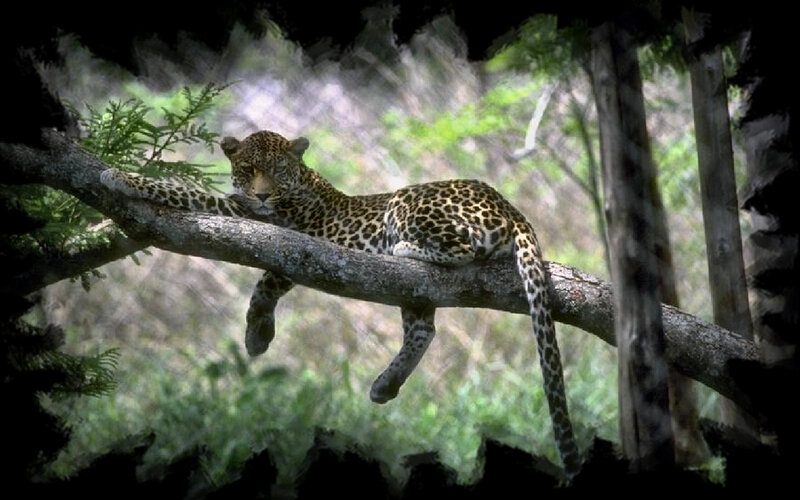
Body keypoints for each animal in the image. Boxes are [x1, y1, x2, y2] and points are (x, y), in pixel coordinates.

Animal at [100, 129, 582, 479]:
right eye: (249, 168)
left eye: (278, 170)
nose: (262, 195)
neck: (301, 182)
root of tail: (509, 205)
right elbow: (266, 276)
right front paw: (259, 334)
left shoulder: (261, 222)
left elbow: (188, 197)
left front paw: (119, 177)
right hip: (415, 291)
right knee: (423, 328)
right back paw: (386, 383)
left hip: (408, 201)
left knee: (458, 252)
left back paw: (404, 249)